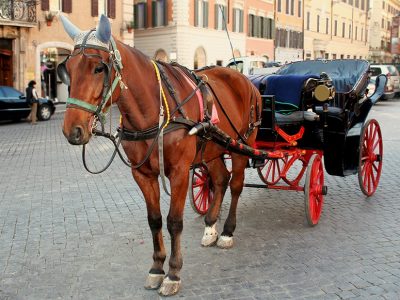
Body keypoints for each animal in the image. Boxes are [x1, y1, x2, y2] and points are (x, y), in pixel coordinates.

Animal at [57, 14, 260, 296]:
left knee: (237, 184)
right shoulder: (142, 174)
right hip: (212, 149)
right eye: (68, 69)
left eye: (99, 68)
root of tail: (243, 78)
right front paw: (156, 268)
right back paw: (210, 227)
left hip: (241, 144)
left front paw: (173, 273)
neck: (153, 111)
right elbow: (154, 220)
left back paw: (227, 232)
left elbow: (174, 221)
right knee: (220, 179)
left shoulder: (179, 173)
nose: (72, 130)